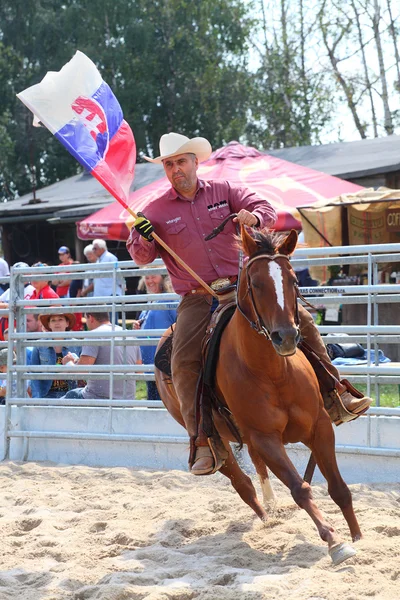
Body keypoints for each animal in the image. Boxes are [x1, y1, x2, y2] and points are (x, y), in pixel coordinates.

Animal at [156, 227, 362, 564]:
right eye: (254, 283)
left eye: (293, 280)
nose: (286, 336)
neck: (274, 372)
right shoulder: (265, 438)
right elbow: (300, 489)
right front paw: (335, 541)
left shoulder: (320, 427)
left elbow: (338, 487)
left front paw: (358, 536)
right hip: (216, 439)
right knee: (242, 483)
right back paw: (265, 517)